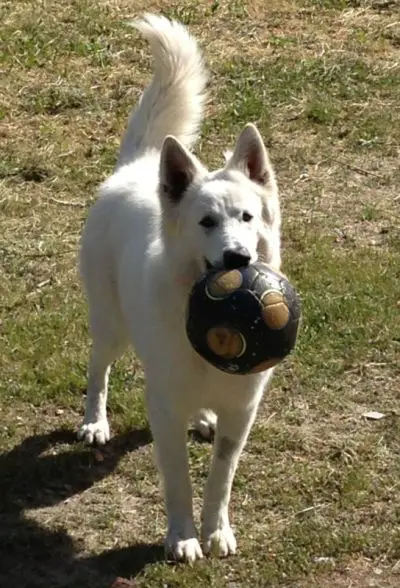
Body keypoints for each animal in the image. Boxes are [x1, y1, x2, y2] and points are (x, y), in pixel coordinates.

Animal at [79, 13, 282, 564]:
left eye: (247, 217)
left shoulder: (241, 413)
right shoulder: (164, 411)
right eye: (206, 222)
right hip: (112, 327)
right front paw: (183, 537)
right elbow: (179, 483)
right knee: (97, 368)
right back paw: (95, 421)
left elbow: (219, 480)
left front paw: (217, 531)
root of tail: (141, 163)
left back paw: (203, 416)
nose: (239, 259)